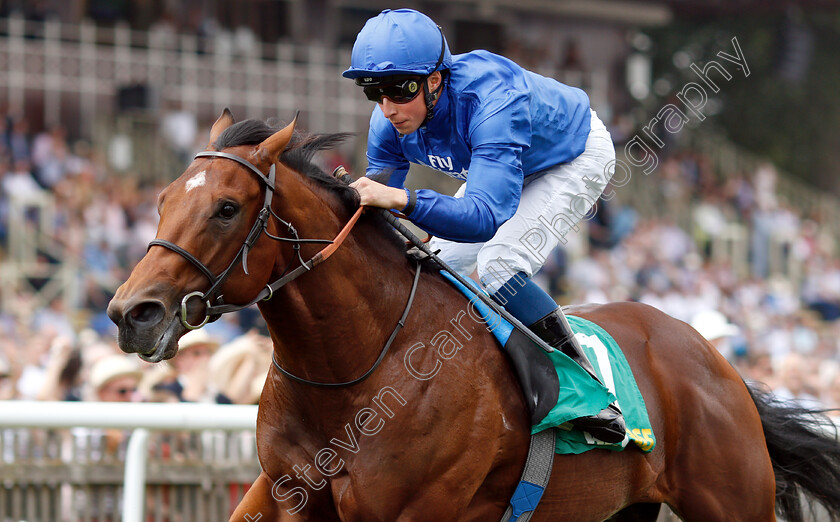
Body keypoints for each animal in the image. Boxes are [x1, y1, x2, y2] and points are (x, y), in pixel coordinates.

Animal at [106, 110, 840, 520]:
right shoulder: (285, 491)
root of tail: (716, 361)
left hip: (733, 498)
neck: (356, 372)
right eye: (164, 198)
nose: (131, 312)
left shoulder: (414, 510)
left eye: (227, 208)